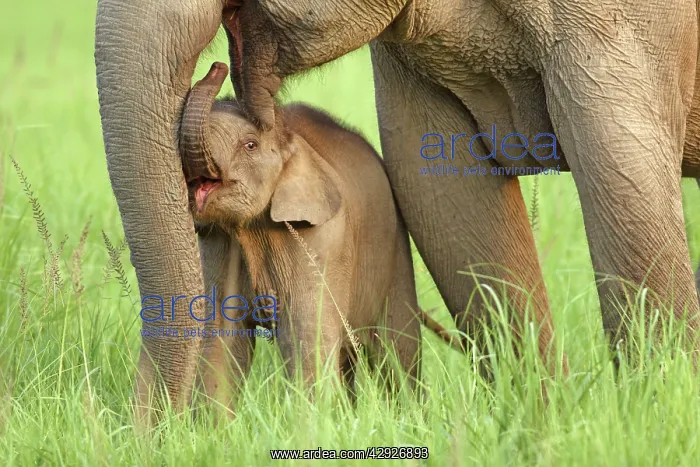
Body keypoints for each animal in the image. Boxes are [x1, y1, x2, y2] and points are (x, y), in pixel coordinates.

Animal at [181, 62, 422, 408]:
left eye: (250, 145)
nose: (217, 66)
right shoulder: (219, 243)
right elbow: (221, 339)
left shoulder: (320, 240)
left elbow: (306, 337)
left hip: (395, 250)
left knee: (395, 348)